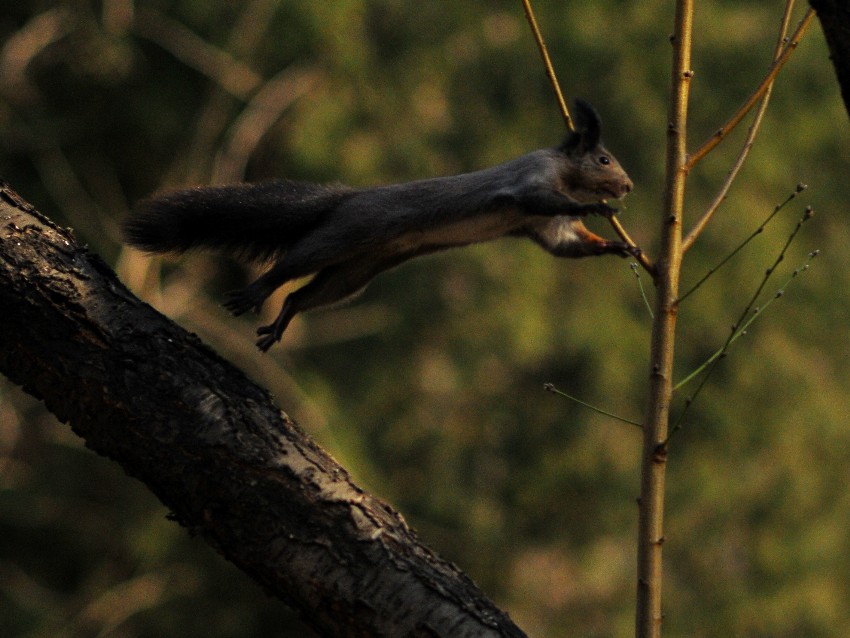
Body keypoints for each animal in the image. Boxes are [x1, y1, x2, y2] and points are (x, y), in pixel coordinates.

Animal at [124, 98, 628, 352]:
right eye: (604, 159)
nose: (627, 185)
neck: (566, 174)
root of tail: (349, 197)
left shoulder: (548, 228)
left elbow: (566, 245)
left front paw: (621, 249)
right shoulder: (531, 181)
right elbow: (537, 199)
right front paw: (598, 208)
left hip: (355, 273)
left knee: (303, 295)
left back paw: (278, 327)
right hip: (344, 235)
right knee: (288, 268)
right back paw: (255, 294)